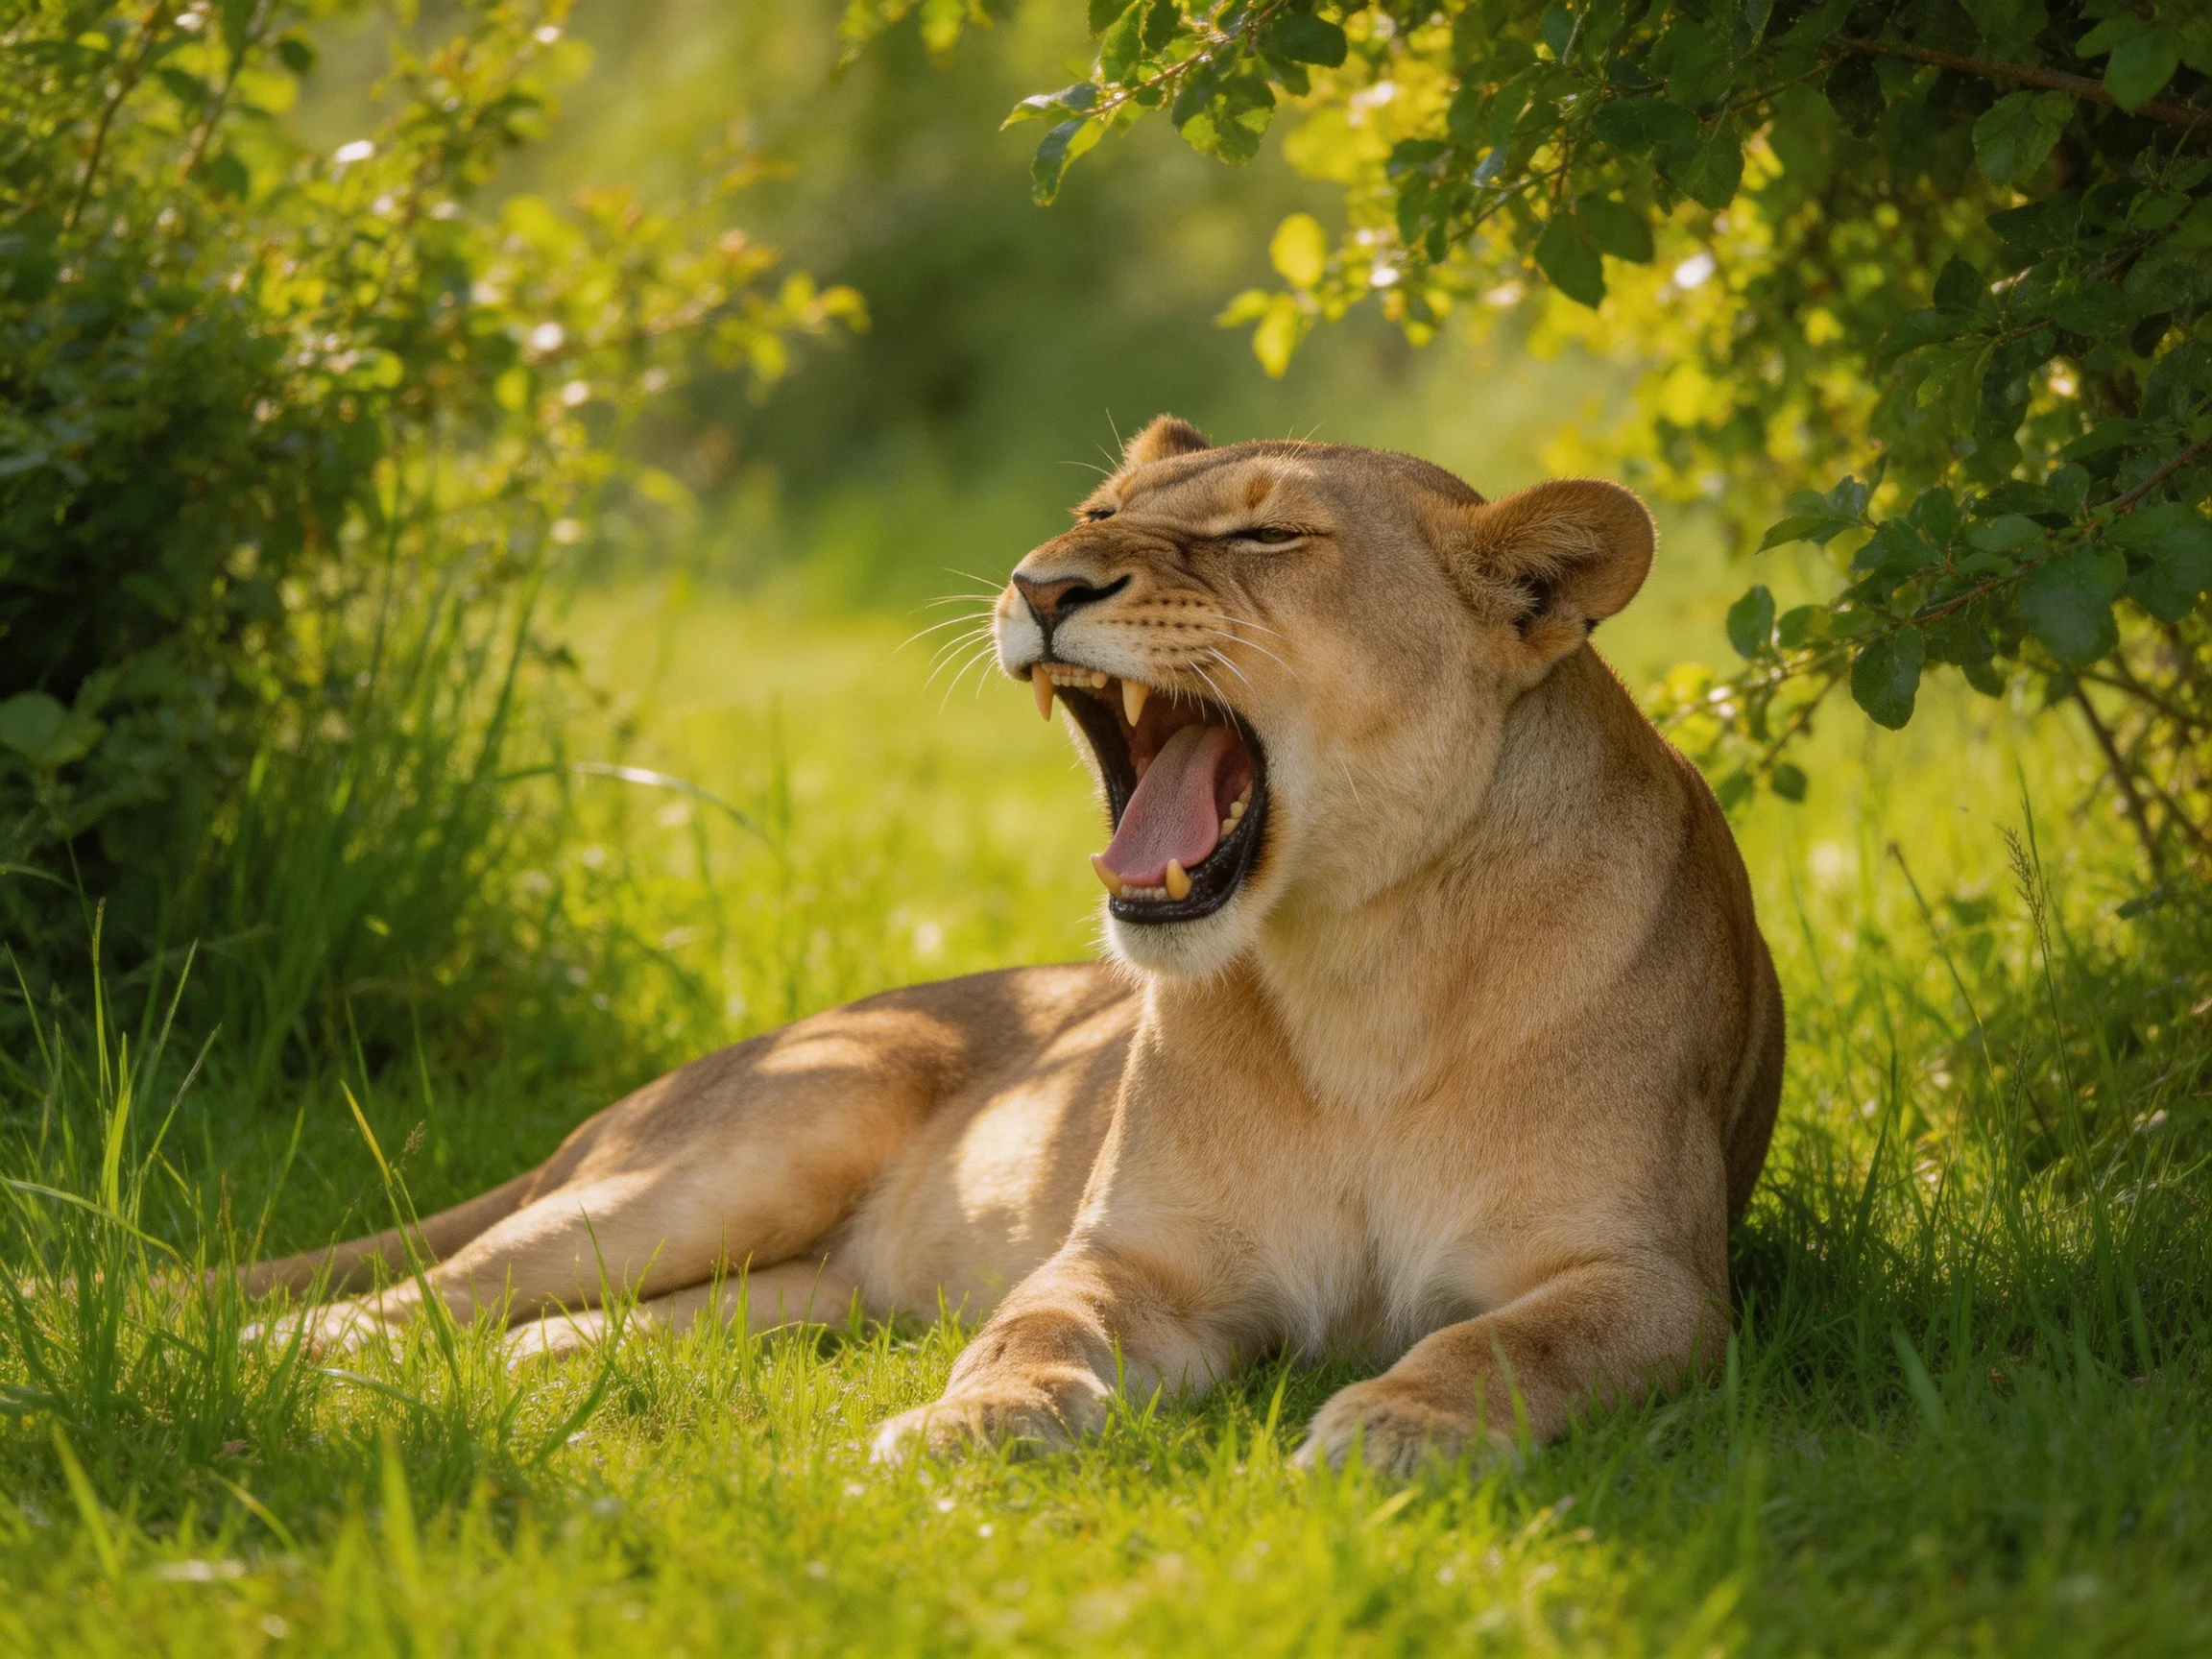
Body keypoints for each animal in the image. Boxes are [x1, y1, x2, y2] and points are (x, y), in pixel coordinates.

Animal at [241, 416, 1783, 1473]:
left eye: (1265, 540)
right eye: (1095, 511)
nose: (1042, 583)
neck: (1359, 966)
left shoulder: (1658, 1280)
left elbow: (1512, 1339)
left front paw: (1399, 1430)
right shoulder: (1132, 1257)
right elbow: (1036, 1333)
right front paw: (966, 1428)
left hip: (795, 1294)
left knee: (548, 1322)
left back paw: (522, 1381)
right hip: (745, 1151)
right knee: (417, 1292)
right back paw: (270, 1365)